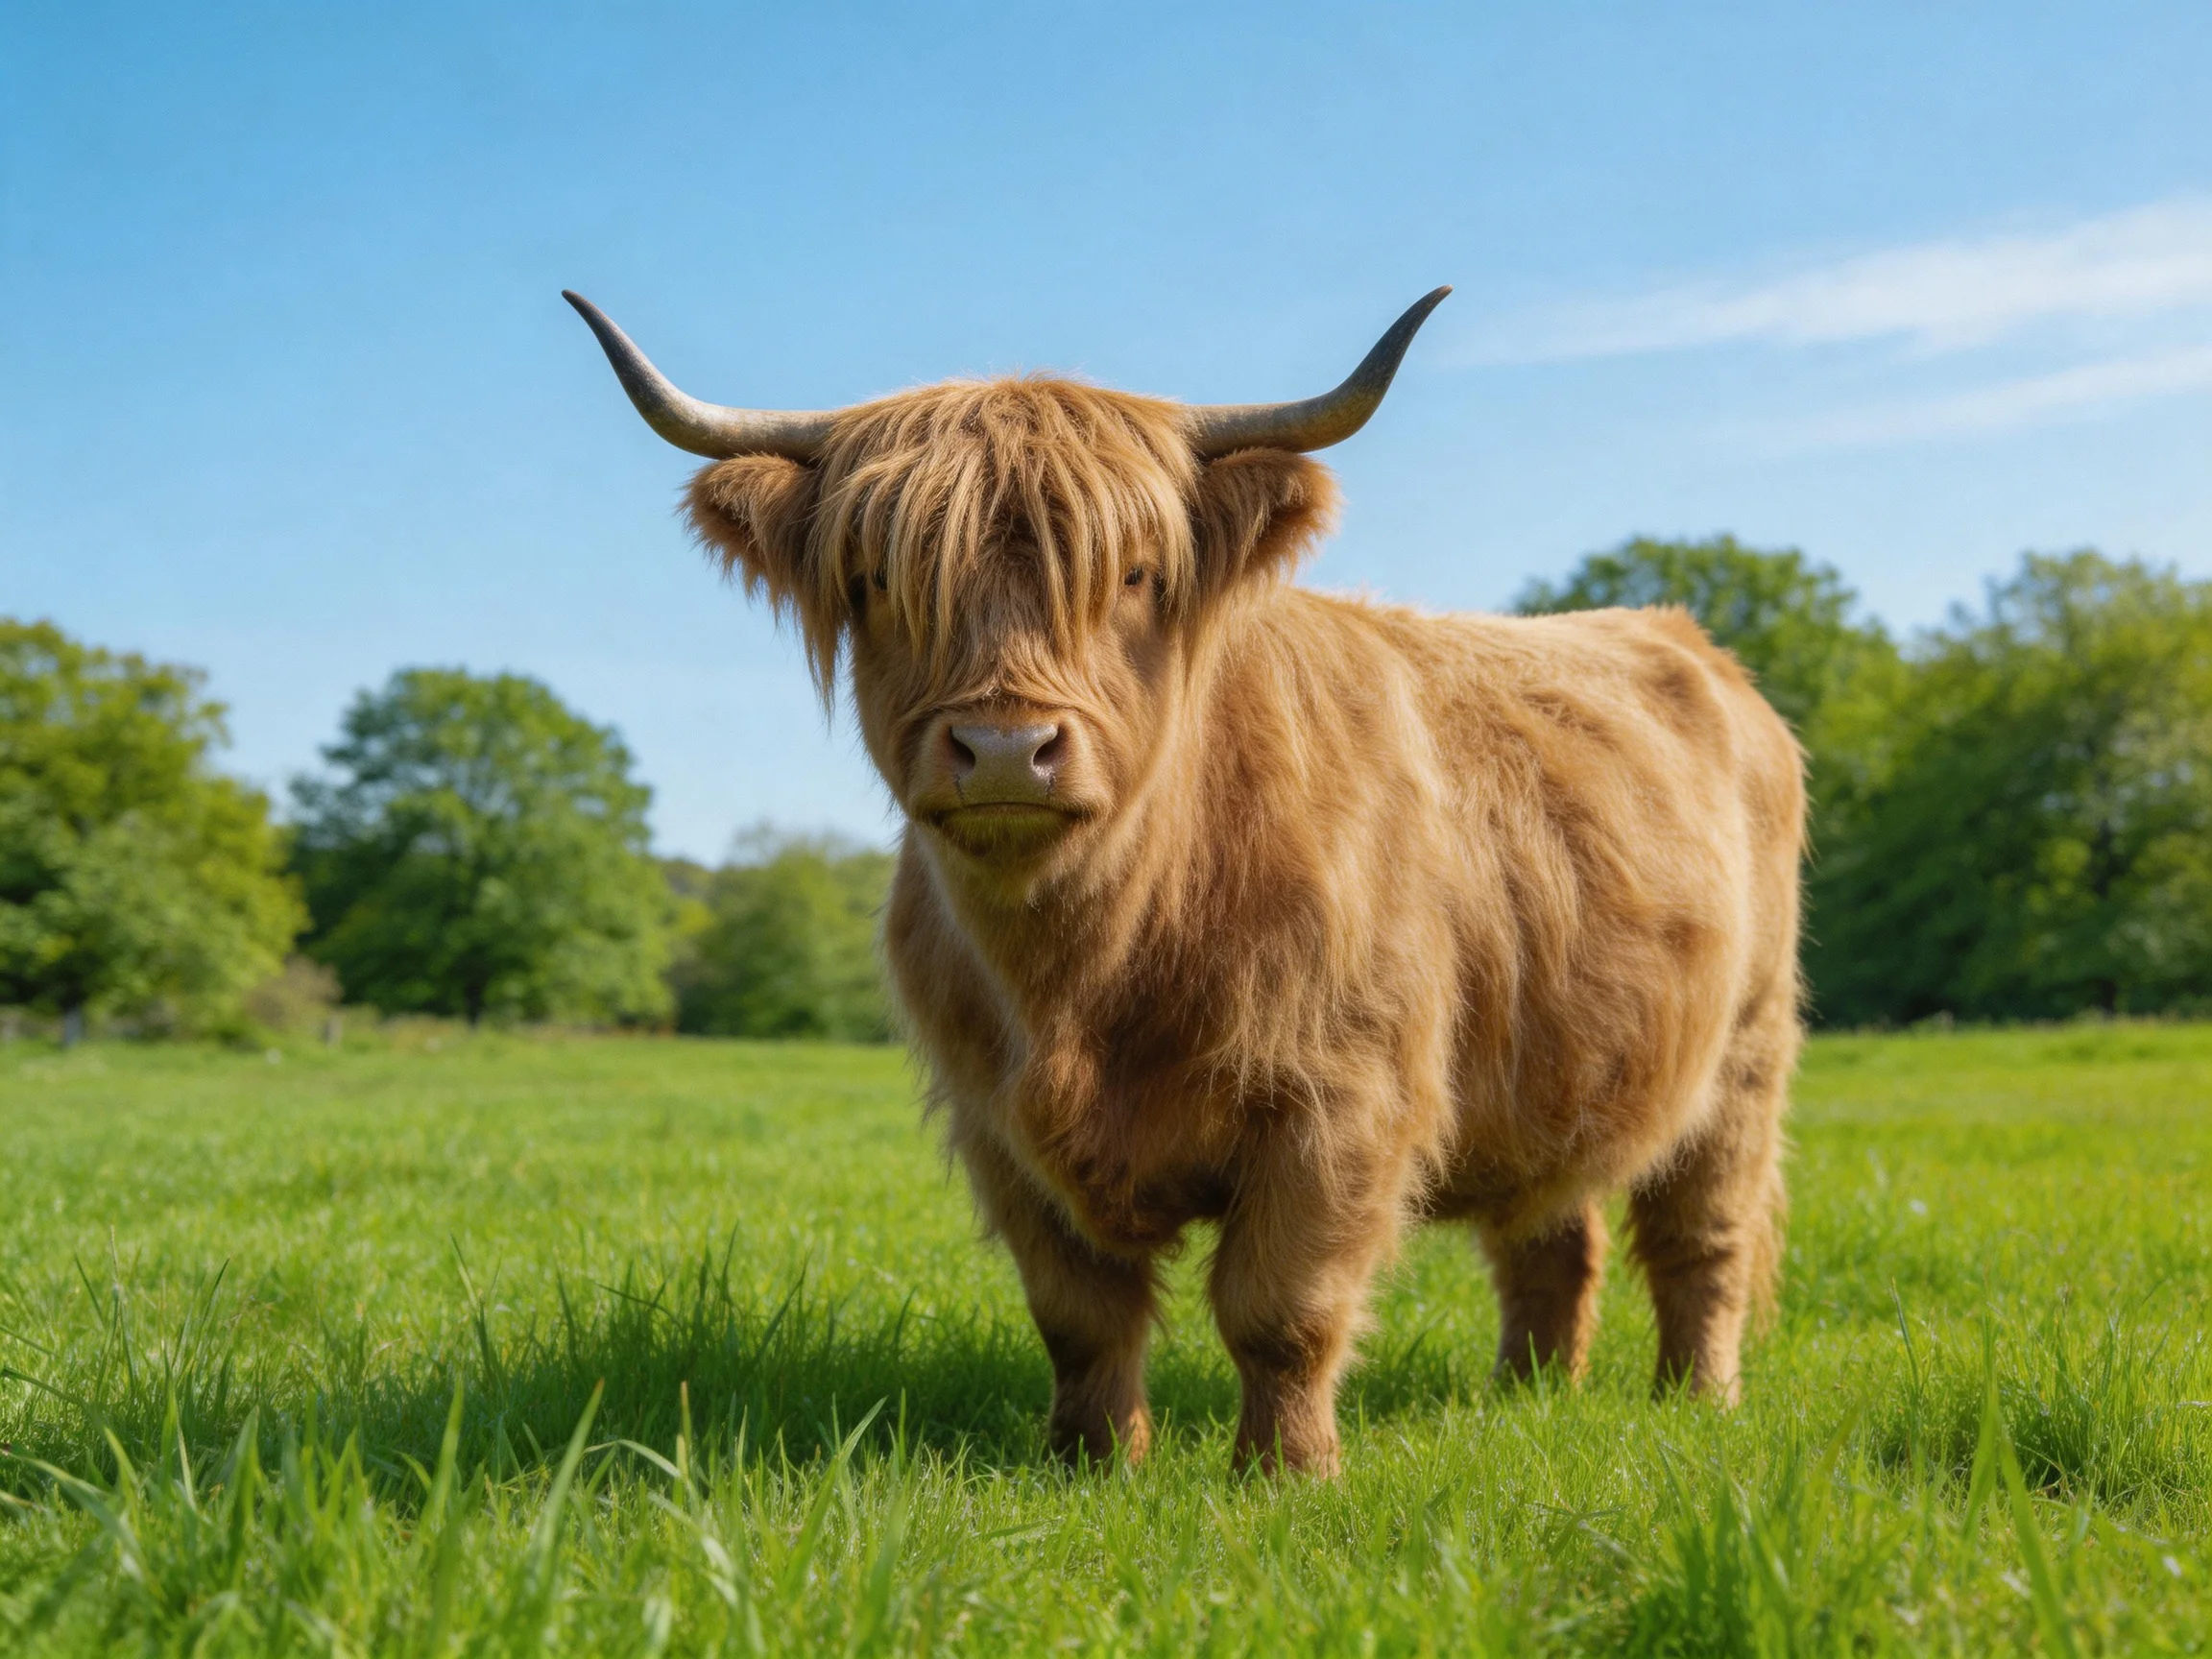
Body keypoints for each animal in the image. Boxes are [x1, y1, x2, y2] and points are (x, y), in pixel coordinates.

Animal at [568, 288, 1804, 1475]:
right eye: (878, 580)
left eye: (1134, 575)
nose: (1005, 749)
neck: (1089, 972)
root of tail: (1690, 643)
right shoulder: (997, 1124)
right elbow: (1079, 1316)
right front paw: (1091, 1464)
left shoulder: (1340, 1102)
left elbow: (1281, 1311)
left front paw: (1286, 1476)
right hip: (1554, 1067)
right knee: (1554, 1234)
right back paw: (1526, 1394)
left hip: (1744, 1052)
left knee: (1704, 1235)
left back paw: (1700, 1399)